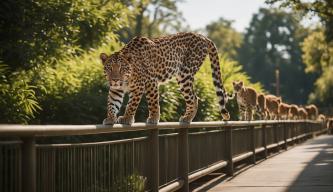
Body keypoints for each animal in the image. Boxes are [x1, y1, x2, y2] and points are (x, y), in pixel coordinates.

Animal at [101, 32, 230, 125]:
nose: (115, 80)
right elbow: (112, 104)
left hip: (185, 74)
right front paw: (110, 118)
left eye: (122, 68)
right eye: (109, 68)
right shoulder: (116, 90)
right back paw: (187, 117)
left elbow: (140, 103)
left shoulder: (147, 82)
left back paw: (187, 118)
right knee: (194, 97)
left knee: (194, 97)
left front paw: (133, 118)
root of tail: (203, 36)